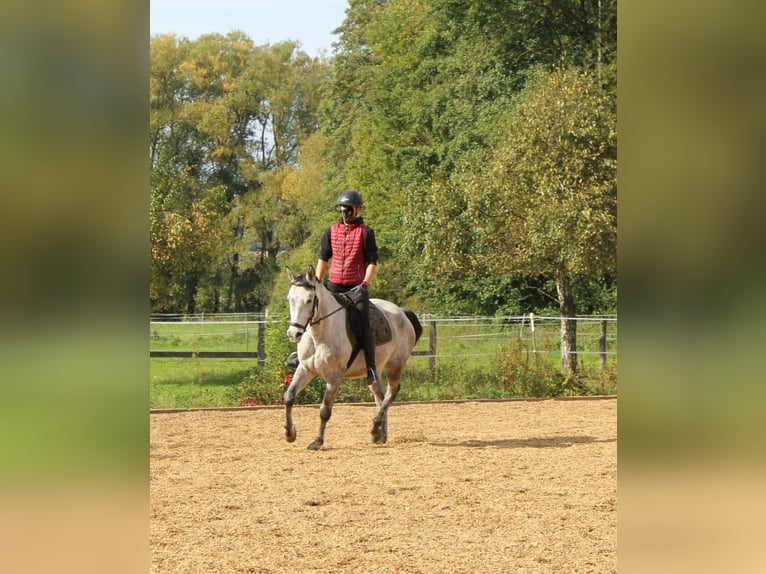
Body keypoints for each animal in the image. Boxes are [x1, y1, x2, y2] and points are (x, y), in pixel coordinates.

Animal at [284, 268, 424, 452]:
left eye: (308, 300)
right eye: (290, 299)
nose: (294, 334)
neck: (319, 335)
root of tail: (402, 312)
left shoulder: (335, 377)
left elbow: (325, 410)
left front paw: (317, 441)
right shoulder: (305, 369)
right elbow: (289, 397)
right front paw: (289, 433)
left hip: (395, 366)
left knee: (392, 392)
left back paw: (375, 428)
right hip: (374, 371)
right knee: (381, 397)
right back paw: (380, 434)